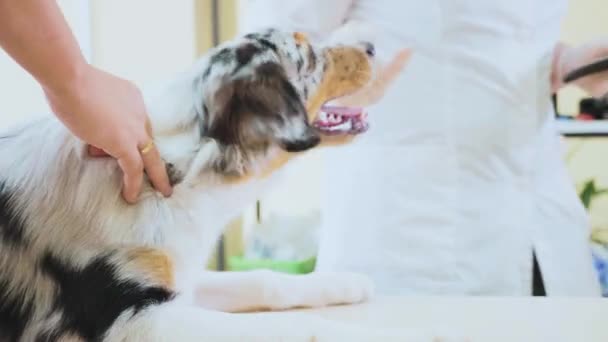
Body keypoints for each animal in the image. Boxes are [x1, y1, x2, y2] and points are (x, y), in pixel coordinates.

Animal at [0, 28, 414, 340]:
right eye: (307, 55)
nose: (371, 46)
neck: (182, 171)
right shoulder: (132, 320)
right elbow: (286, 327)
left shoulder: (180, 277)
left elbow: (263, 279)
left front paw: (346, 282)